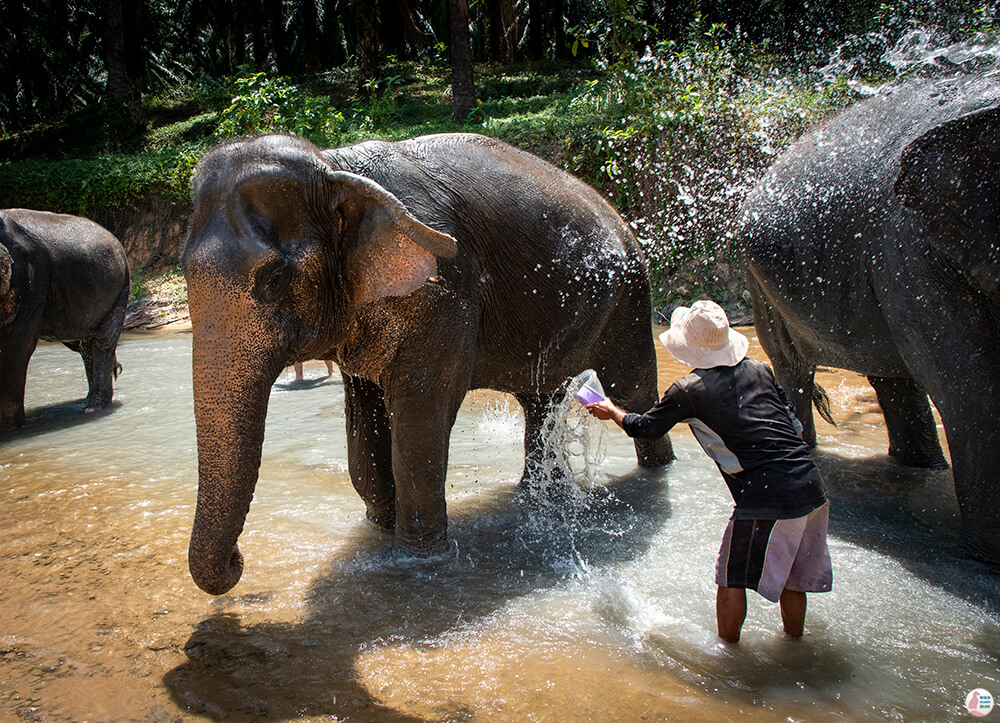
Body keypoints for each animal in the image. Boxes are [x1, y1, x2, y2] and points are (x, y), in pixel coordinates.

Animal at [0, 208, 131, 430]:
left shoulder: (31, 279)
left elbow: (16, 347)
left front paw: (12, 430)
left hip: (119, 289)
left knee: (102, 344)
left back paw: (94, 407)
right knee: (84, 346)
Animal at [184, 133, 676, 596]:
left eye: (275, 278)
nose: (239, 562)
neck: (334, 165)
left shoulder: (444, 287)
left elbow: (421, 414)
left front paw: (419, 560)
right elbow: (363, 429)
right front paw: (379, 529)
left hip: (631, 294)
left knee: (633, 390)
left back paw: (655, 475)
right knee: (543, 401)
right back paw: (539, 495)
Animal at [740, 73, 1000, 572]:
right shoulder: (911, 250)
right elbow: (972, 387)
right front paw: (988, 562)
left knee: (893, 376)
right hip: (764, 289)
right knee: (794, 370)